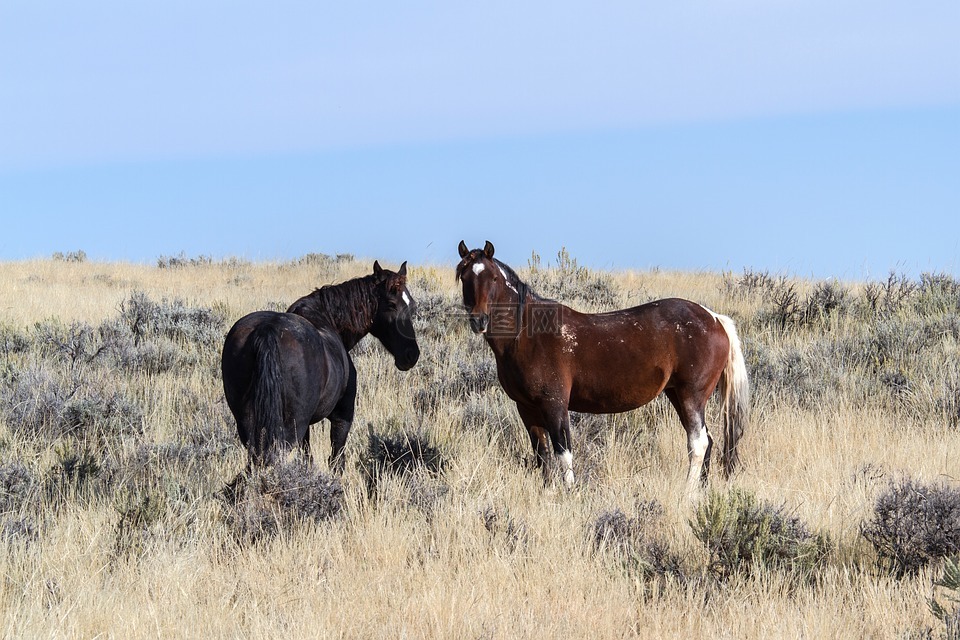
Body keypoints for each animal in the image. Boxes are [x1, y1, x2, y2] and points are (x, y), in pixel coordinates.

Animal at [227, 260, 422, 470]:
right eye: (391, 304)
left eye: (412, 306)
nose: (411, 354)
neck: (325, 316)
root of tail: (267, 328)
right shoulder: (342, 417)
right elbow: (337, 461)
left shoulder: (306, 430)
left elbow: (307, 457)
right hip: (290, 427)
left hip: (249, 425)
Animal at [458, 241, 752, 496]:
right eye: (464, 276)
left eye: (493, 279)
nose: (479, 320)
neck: (527, 335)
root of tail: (714, 318)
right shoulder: (527, 408)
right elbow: (542, 455)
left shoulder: (554, 404)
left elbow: (563, 452)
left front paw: (570, 494)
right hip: (677, 395)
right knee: (708, 440)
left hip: (691, 395)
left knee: (698, 442)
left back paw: (687, 494)